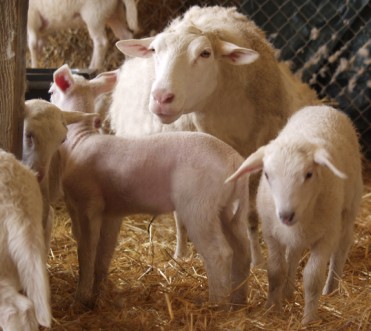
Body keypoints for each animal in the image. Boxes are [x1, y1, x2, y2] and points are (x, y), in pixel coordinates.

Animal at [109, 4, 320, 264]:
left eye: (205, 53)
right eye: (154, 50)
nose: (161, 98)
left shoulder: (256, 170)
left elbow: (251, 216)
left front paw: (257, 261)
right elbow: (181, 218)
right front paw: (180, 256)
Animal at [227, 105, 364, 324]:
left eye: (309, 174)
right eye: (267, 174)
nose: (286, 215)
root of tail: (323, 107)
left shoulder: (327, 236)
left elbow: (312, 278)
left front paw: (309, 319)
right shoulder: (272, 233)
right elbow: (275, 271)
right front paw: (272, 308)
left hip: (349, 209)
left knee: (341, 248)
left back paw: (332, 288)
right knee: (293, 253)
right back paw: (288, 292)